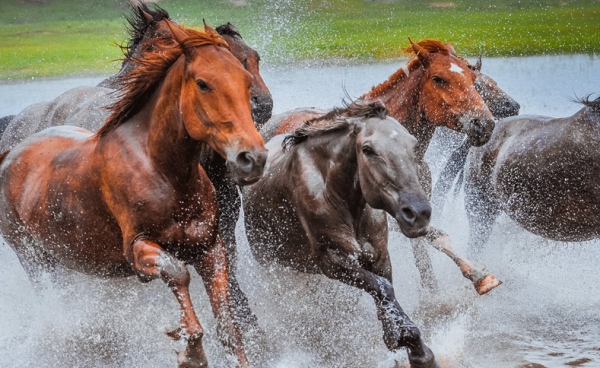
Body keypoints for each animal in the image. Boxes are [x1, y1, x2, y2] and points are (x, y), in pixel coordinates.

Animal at [244, 100, 440, 368]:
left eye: (413, 144)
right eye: (368, 149)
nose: (418, 213)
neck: (338, 194)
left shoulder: (378, 254)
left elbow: (384, 287)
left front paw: (415, 348)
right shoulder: (332, 260)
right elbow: (381, 287)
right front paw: (402, 337)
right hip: (276, 267)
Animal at [264, 38, 504, 296]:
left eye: (473, 79)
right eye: (439, 79)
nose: (484, 124)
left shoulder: (416, 210)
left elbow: (428, 247)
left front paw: (443, 288)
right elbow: (434, 238)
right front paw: (477, 279)